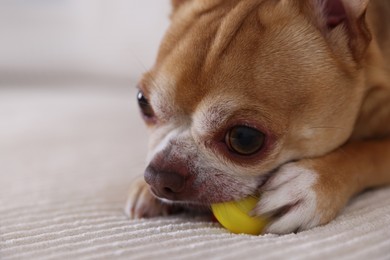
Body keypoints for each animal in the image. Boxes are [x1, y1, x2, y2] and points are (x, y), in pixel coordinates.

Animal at [125, 0, 390, 234]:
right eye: (143, 103)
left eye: (244, 138)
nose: (157, 177)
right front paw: (143, 189)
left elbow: (367, 152)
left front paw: (311, 184)